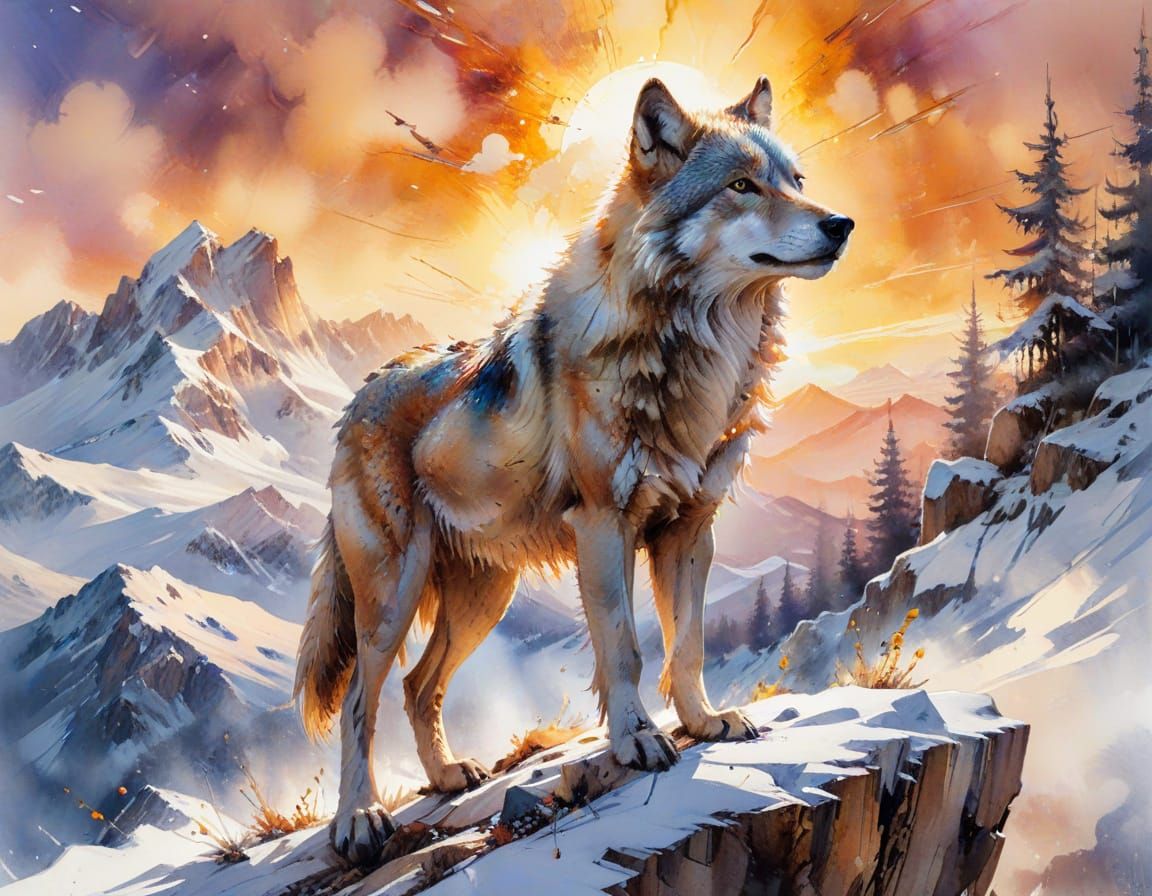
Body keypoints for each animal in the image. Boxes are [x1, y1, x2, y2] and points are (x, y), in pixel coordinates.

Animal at [295, 74, 853, 864]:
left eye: (795, 182)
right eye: (742, 186)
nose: (841, 224)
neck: (696, 350)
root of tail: (357, 398)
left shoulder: (691, 529)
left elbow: (688, 645)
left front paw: (704, 721)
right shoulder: (603, 527)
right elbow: (624, 649)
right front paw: (639, 741)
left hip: (481, 599)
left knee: (416, 686)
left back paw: (448, 777)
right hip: (391, 599)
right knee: (358, 699)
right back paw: (358, 820)